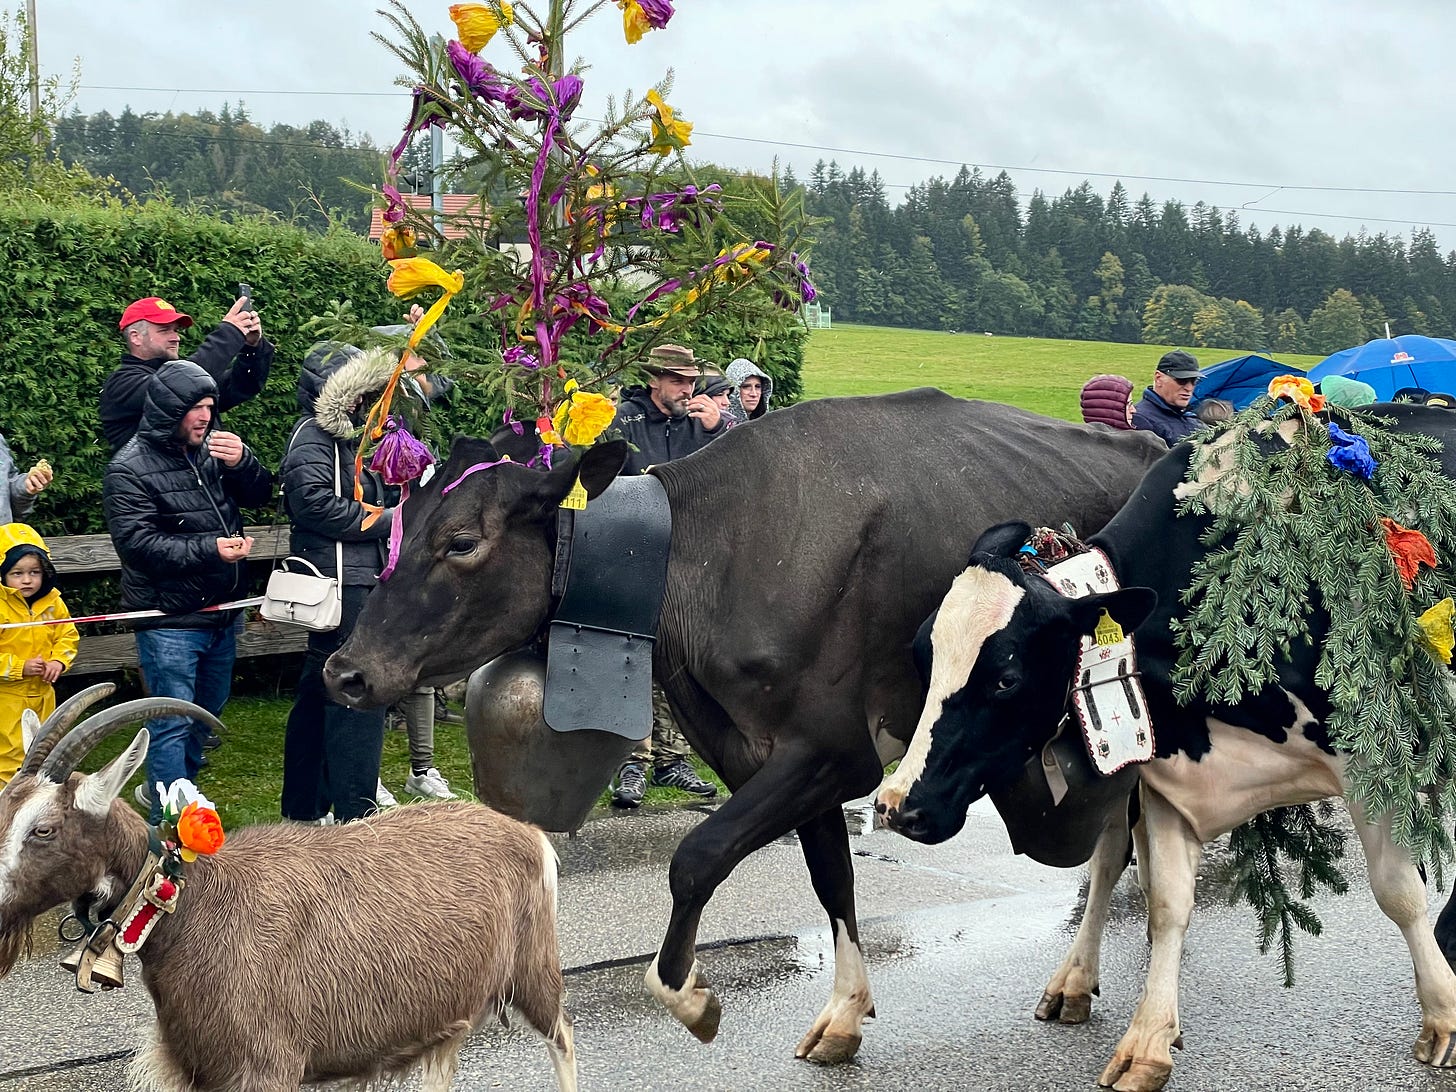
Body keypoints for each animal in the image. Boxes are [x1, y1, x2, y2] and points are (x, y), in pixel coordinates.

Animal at [0, 685, 576, 1091]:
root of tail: (525, 832)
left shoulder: (265, 1068)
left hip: (534, 971)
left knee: (564, 1039)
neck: (194, 910)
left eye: (44, 829)